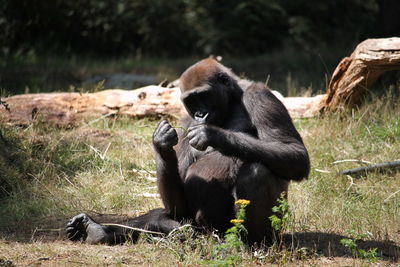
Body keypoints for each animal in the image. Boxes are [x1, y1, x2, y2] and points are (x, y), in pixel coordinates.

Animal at [66, 58, 310, 247]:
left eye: (204, 96)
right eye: (191, 101)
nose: (201, 114)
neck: (232, 99)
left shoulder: (260, 94)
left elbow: (294, 152)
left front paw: (211, 134)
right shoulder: (184, 120)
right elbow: (177, 202)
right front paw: (161, 143)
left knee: (258, 171)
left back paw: (249, 241)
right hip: (200, 228)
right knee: (166, 218)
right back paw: (96, 230)